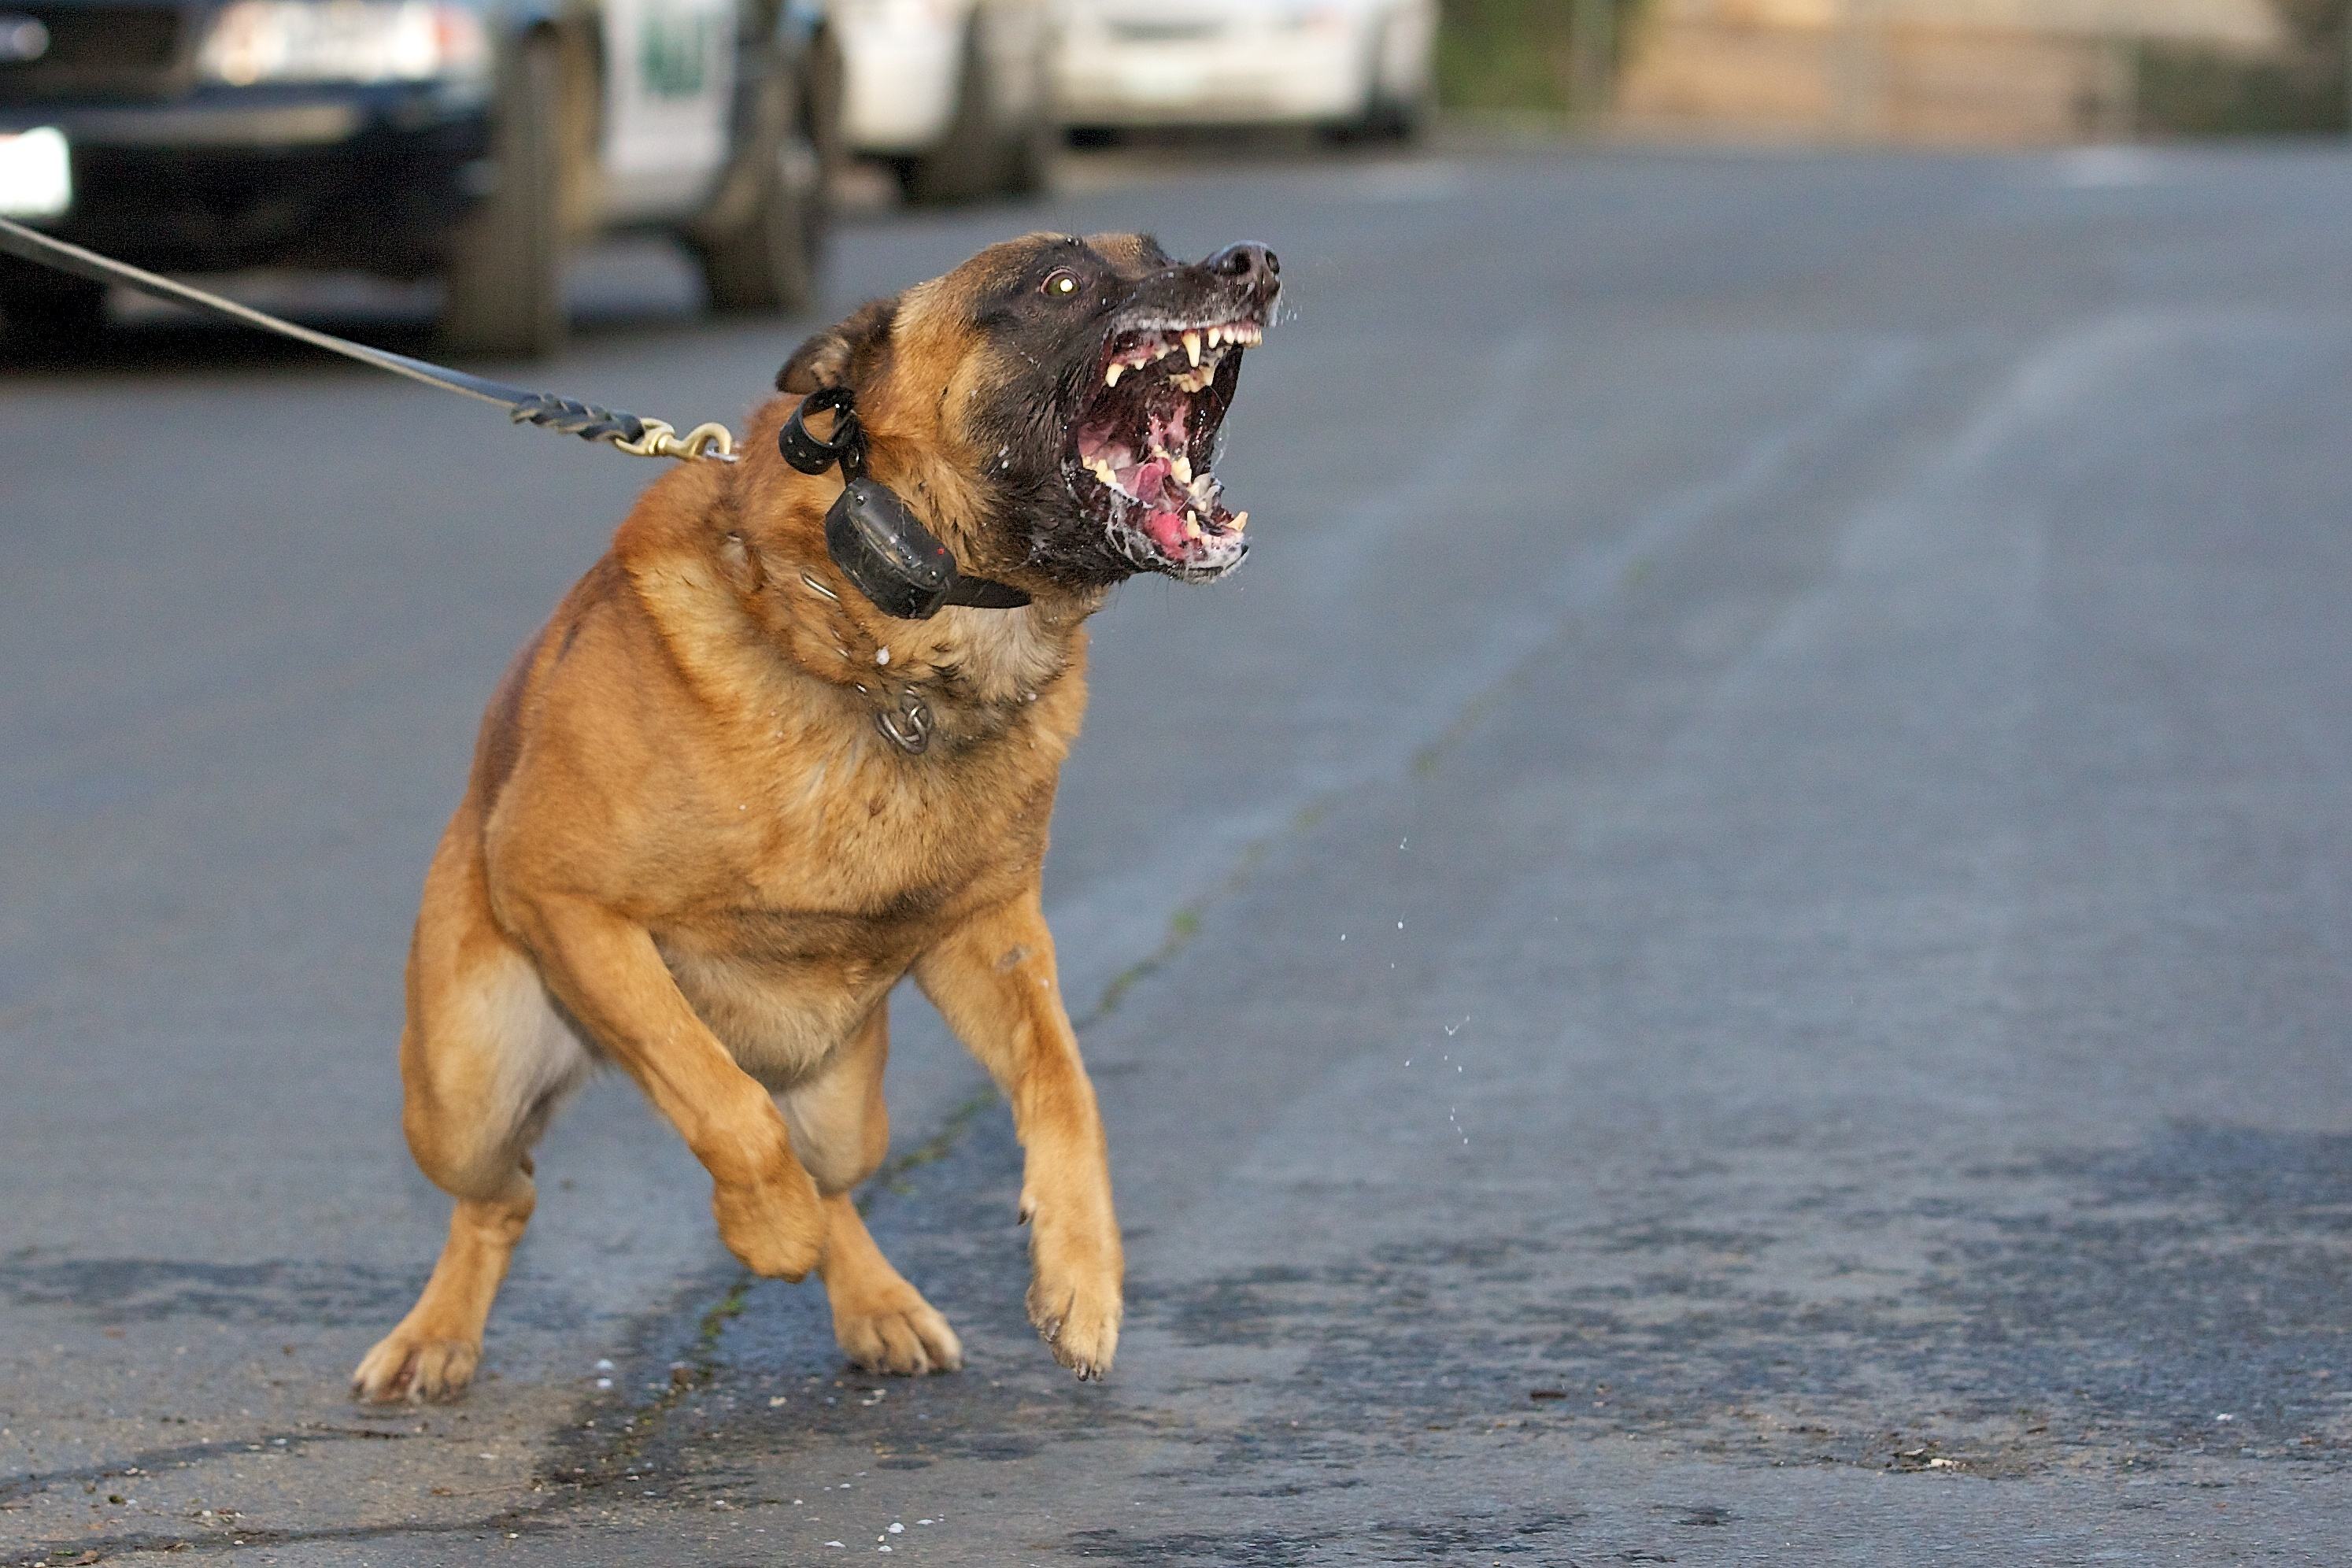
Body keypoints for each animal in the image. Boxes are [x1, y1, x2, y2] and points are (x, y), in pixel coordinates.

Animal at [343, 227, 1289, 1400]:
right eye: (1061, 283)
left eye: (1157, 250)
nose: (1252, 262)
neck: (885, 647)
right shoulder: (565, 904)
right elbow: (716, 1099)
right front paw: (766, 1228)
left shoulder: (994, 938)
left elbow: (1066, 1087)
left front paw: (1083, 1274)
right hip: (463, 1091)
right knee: (509, 1188)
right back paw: (437, 1335)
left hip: (847, 1108)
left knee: (831, 1180)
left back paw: (879, 1306)